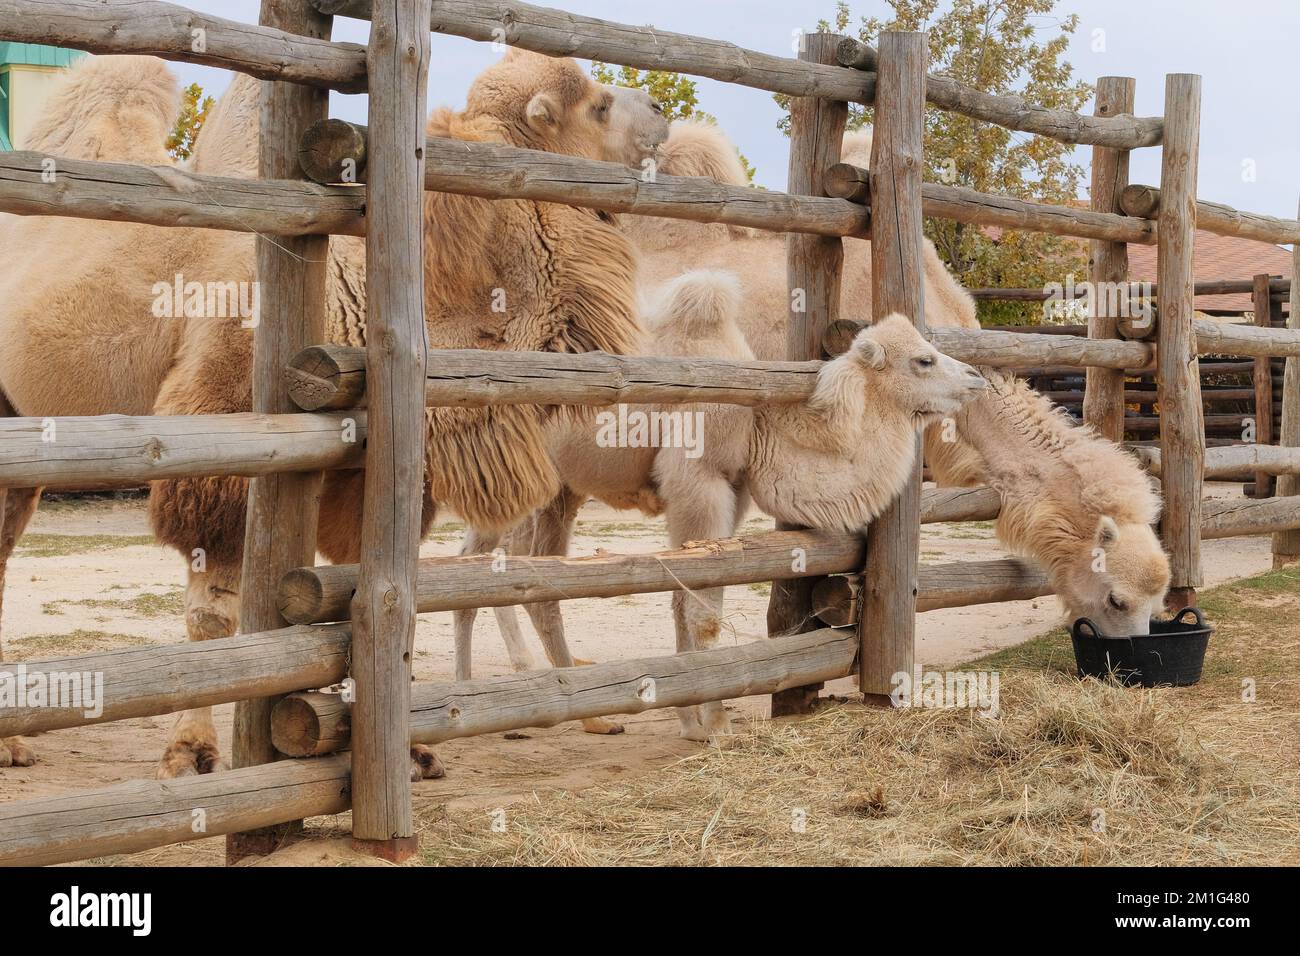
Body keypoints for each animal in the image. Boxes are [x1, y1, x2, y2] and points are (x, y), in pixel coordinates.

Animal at [0, 52, 667, 775]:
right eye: (598, 106)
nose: (662, 111)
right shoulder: (219, 443)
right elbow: (215, 615)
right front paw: (193, 752)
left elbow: (356, 597)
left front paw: (402, 750)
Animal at [455, 269, 987, 739]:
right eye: (923, 360)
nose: (976, 378)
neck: (759, 427)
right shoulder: (699, 481)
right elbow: (703, 610)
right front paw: (715, 725)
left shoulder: (733, 493)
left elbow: (682, 597)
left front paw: (690, 723)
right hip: (503, 476)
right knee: (471, 568)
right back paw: (458, 720)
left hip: (558, 489)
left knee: (527, 578)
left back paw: (590, 718)